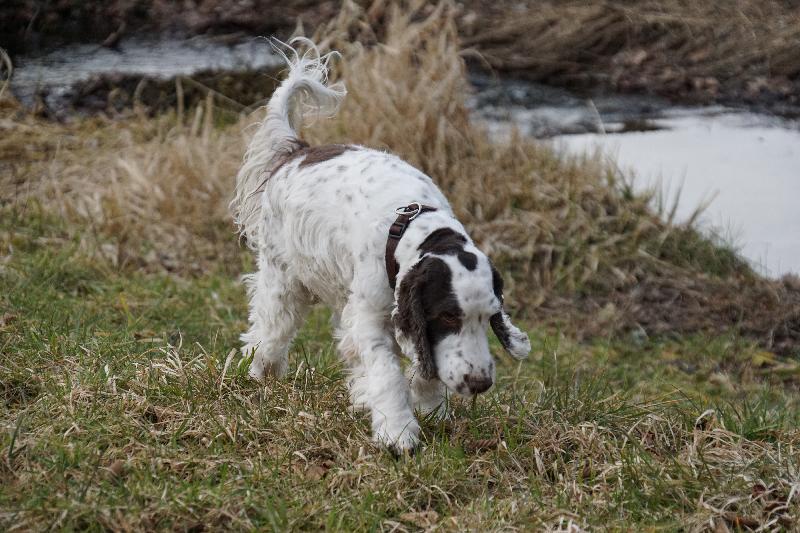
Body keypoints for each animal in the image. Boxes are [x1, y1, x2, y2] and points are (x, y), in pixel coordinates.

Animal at [231, 40, 530, 452]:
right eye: (448, 316)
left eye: (488, 317)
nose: (480, 383)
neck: (412, 228)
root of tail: (298, 151)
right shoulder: (371, 317)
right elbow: (387, 371)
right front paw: (399, 433)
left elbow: (422, 366)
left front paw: (430, 409)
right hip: (284, 279)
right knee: (270, 329)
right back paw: (261, 371)